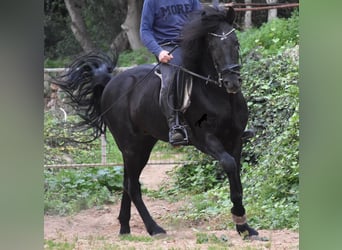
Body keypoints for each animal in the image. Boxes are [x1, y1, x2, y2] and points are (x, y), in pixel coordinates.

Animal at [56, 6, 258, 238]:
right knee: (133, 186)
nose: (232, 82)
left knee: (127, 182)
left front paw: (244, 227)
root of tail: (110, 82)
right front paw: (240, 220)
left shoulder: (236, 140)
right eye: (213, 46)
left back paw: (124, 227)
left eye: (236, 43)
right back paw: (154, 228)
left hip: (141, 145)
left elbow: (237, 182)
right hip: (132, 148)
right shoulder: (206, 140)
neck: (219, 95)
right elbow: (229, 165)